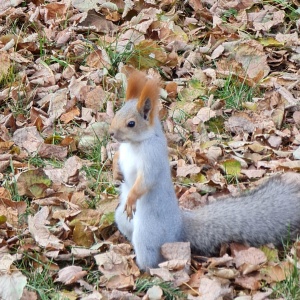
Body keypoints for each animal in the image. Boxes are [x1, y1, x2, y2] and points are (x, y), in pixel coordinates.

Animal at [109, 71, 300, 272]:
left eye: (131, 123)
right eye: (117, 112)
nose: (111, 133)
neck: (135, 144)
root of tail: (179, 227)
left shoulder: (152, 159)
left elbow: (145, 181)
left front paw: (131, 198)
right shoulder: (124, 152)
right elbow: (117, 157)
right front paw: (116, 172)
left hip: (148, 234)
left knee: (152, 258)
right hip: (121, 219)